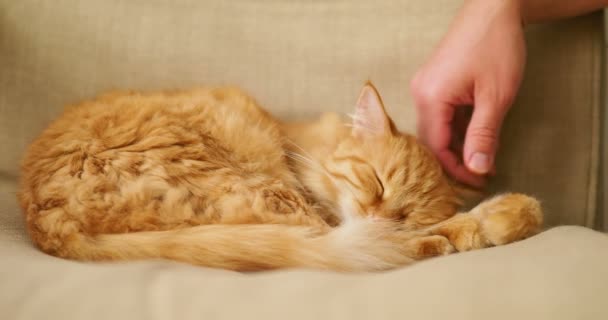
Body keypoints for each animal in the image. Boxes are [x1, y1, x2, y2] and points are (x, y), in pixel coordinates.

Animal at [17, 82, 540, 270]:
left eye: (406, 209)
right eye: (375, 181)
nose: (382, 216)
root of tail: (48, 221)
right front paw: (502, 216)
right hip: (266, 194)